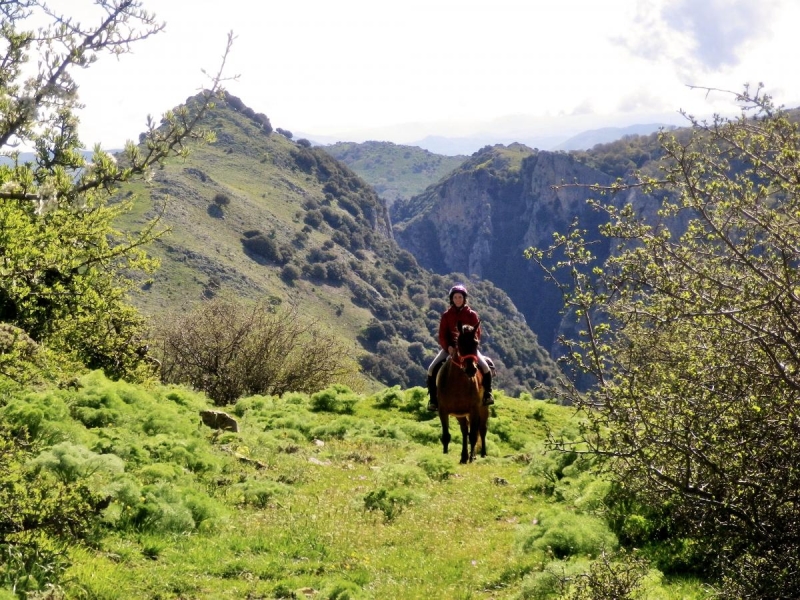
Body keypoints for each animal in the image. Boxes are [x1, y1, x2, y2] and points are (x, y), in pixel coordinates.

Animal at [438, 324, 488, 464]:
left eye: (476, 342)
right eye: (459, 343)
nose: (471, 369)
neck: (458, 385)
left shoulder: (474, 410)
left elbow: (473, 435)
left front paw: (472, 459)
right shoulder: (443, 411)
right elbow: (446, 435)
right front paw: (444, 456)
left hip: (483, 408)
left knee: (482, 429)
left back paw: (481, 454)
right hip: (460, 414)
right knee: (465, 430)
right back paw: (463, 457)